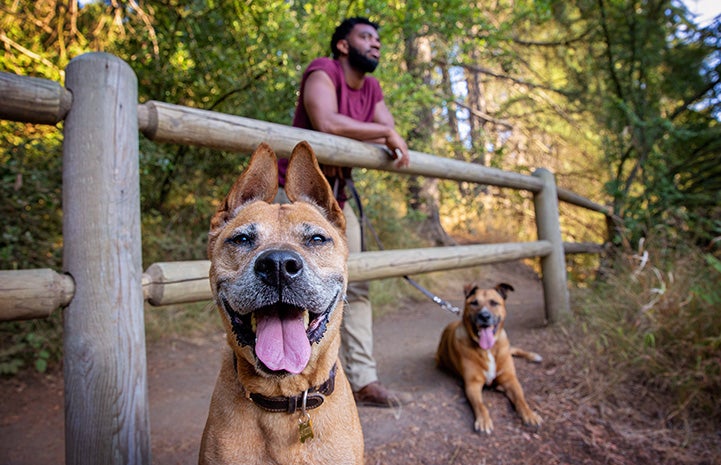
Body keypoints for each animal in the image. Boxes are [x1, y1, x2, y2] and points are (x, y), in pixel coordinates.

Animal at [436, 282, 544, 436]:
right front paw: (483, 421)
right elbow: (481, 405)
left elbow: (521, 399)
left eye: (494, 303)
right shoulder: (472, 384)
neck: (488, 349)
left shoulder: (510, 378)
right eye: (474, 303)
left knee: (514, 350)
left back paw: (532, 356)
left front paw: (530, 414)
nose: (484, 316)